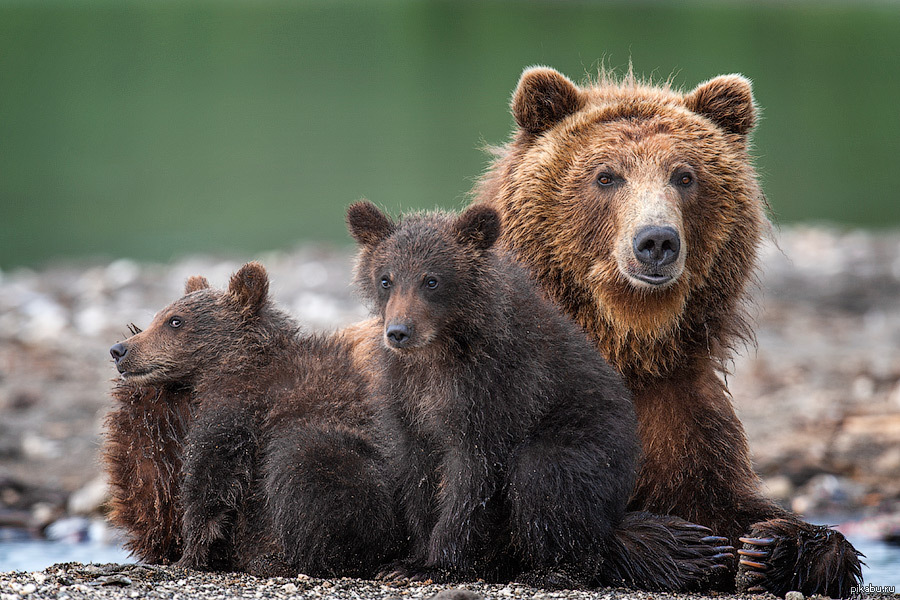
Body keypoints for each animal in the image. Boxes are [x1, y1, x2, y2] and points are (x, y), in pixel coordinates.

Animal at [472, 65, 856, 596]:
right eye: (606, 175)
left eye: (685, 175)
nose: (656, 240)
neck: (626, 337)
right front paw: (683, 546)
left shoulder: (680, 408)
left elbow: (724, 498)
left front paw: (775, 546)